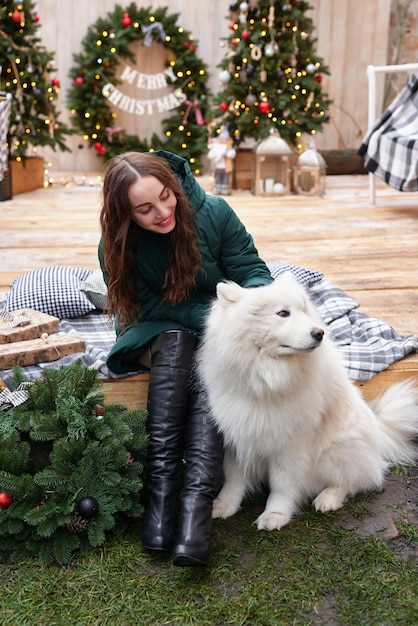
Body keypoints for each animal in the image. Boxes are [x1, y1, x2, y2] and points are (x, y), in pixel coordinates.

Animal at [197, 270, 418, 528]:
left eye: (304, 311)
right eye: (283, 313)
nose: (319, 333)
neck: (265, 379)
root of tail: (377, 433)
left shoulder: (289, 445)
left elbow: (281, 484)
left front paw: (275, 514)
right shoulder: (239, 435)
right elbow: (234, 478)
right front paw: (224, 505)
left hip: (335, 452)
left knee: (358, 478)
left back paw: (328, 498)